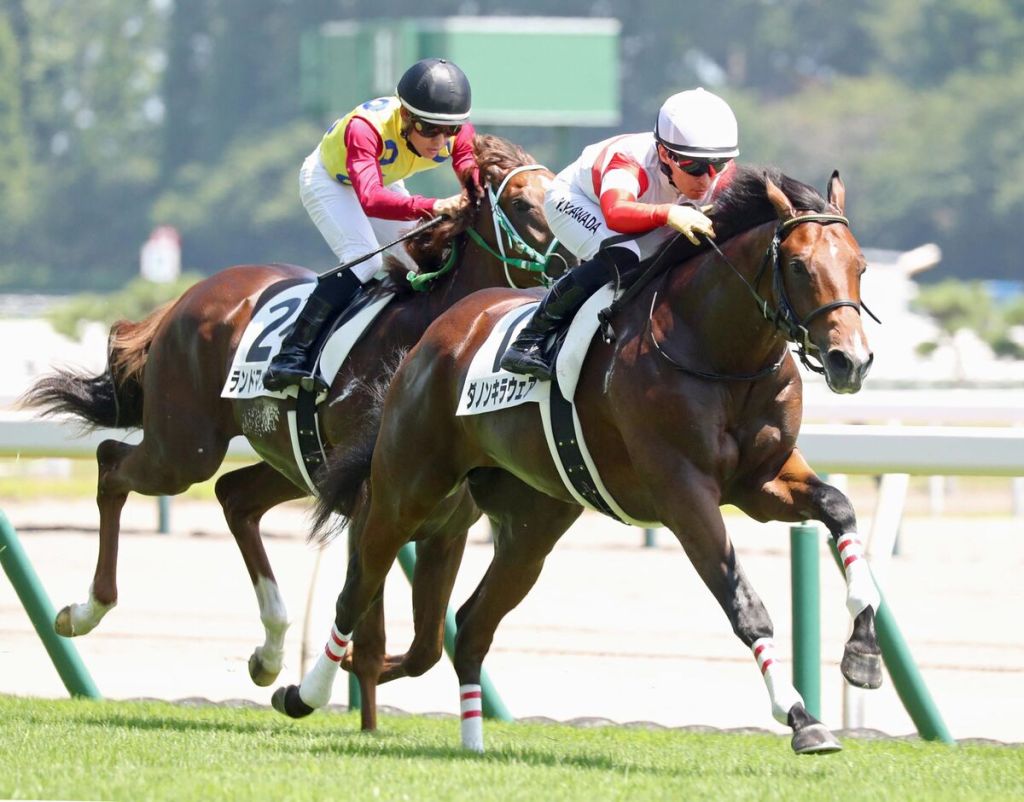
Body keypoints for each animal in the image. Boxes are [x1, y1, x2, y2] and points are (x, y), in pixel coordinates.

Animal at [21, 135, 572, 721]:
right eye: (520, 203)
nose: (576, 260)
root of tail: (190, 295)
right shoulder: (373, 507)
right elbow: (370, 630)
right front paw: (337, 696)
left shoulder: (448, 525)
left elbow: (422, 647)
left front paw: (333, 684)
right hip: (183, 448)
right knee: (112, 463)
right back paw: (86, 610)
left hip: (294, 464)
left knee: (233, 496)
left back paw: (269, 652)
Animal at [273, 166, 882, 754]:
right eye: (798, 265)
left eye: (860, 265)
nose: (850, 361)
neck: (717, 353)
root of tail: (435, 333)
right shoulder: (684, 495)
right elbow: (743, 602)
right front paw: (802, 718)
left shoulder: (761, 481)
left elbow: (840, 509)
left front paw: (863, 652)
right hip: (409, 486)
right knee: (359, 586)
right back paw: (305, 692)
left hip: (534, 521)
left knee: (470, 624)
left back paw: (470, 739)